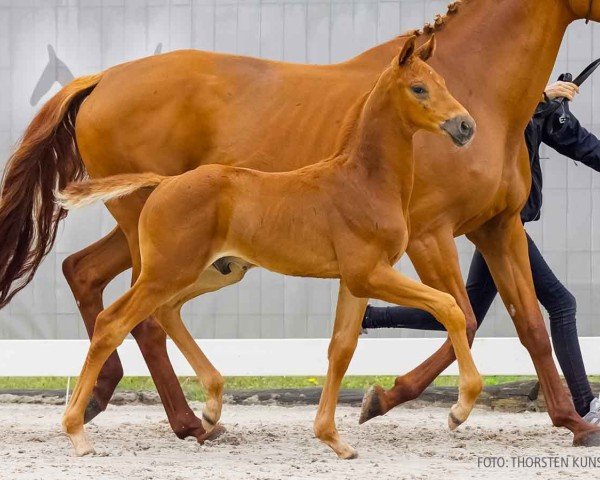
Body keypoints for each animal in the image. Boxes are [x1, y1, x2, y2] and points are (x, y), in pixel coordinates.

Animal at [56, 36, 478, 458]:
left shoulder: (355, 281)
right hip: (167, 271)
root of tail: (164, 182)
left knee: (165, 311)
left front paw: (333, 438)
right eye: (419, 88)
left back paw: (210, 409)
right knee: (113, 322)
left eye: (442, 81)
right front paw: (460, 408)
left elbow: (341, 348)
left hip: (213, 272)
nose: (465, 125)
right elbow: (449, 307)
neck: (363, 182)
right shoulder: (368, 274)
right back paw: (77, 430)